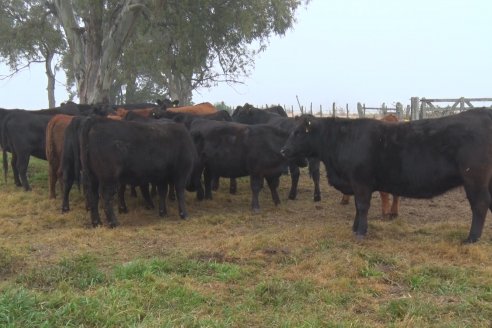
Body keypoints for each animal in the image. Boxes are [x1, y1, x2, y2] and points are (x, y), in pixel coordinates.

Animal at [282, 110, 492, 243]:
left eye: (299, 132)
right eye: (291, 131)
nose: (283, 150)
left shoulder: (361, 182)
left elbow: (362, 206)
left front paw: (361, 232)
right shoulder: (356, 184)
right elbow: (358, 207)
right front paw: (355, 228)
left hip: (474, 180)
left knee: (480, 206)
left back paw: (471, 239)